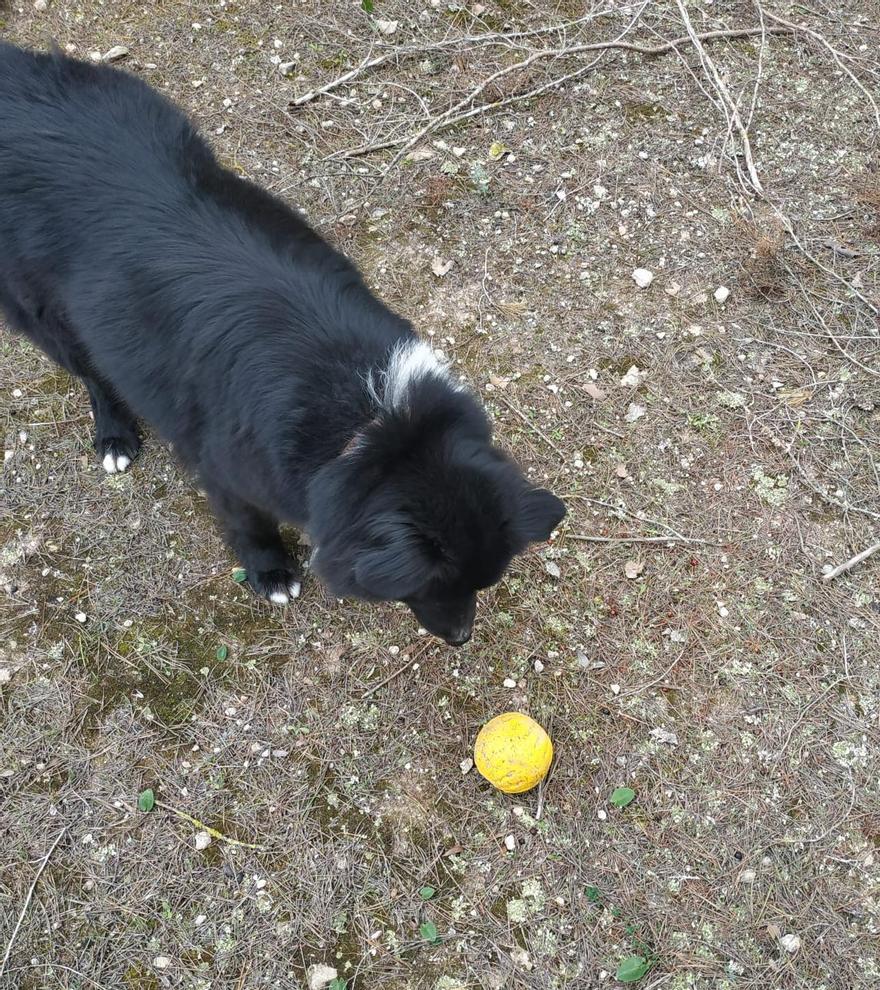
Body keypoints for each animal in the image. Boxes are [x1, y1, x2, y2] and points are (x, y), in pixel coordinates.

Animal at [0, 44, 564, 652]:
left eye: (483, 583)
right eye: (432, 587)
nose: (460, 637)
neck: (372, 419)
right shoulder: (227, 472)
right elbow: (250, 524)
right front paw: (271, 572)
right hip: (42, 312)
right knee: (93, 373)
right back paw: (115, 436)